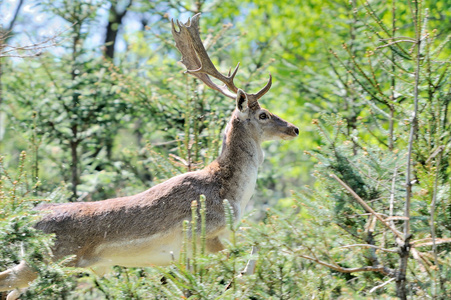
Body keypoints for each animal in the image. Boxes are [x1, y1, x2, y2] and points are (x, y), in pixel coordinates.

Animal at [0, 12, 298, 298]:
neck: (232, 196)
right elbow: (250, 260)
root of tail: (29, 218)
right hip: (47, 259)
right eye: (263, 114)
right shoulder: (204, 236)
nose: (294, 128)